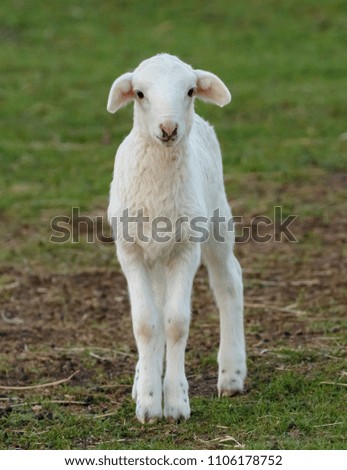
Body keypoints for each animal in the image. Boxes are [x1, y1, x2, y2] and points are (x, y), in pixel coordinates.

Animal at [107, 54, 246, 422]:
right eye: (139, 93)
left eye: (191, 90)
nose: (168, 129)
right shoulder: (129, 250)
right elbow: (145, 323)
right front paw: (148, 401)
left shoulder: (186, 247)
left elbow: (176, 322)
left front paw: (175, 402)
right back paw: (142, 378)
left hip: (217, 217)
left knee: (229, 280)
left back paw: (232, 374)